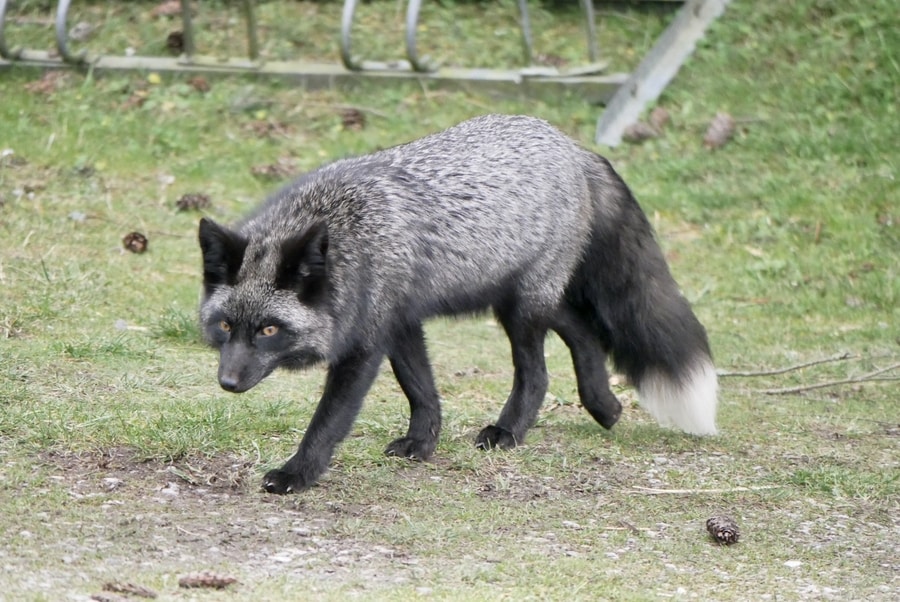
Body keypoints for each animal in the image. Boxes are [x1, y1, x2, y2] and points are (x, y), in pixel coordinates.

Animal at [199, 113, 716, 492]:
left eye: (269, 330)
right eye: (225, 327)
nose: (227, 382)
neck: (347, 238)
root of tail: (572, 146)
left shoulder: (365, 345)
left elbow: (327, 422)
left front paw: (297, 474)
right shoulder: (401, 323)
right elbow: (421, 391)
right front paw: (422, 444)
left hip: (521, 309)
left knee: (538, 373)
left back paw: (510, 432)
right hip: (514, 297)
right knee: (582, 330)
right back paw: (604, 406)